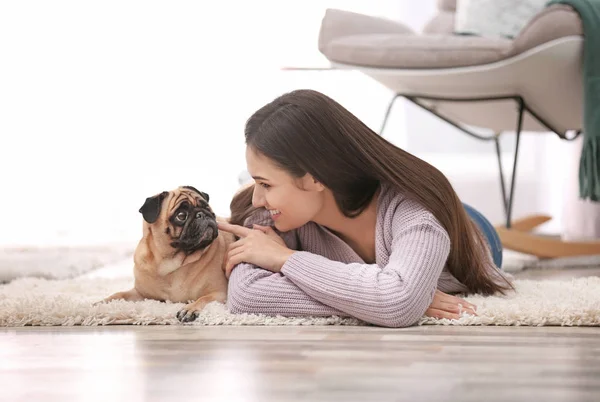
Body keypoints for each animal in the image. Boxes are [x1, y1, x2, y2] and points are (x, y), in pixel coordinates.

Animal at [99, 186, 233, 324]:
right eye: (181, 216)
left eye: (207, 207)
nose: (202, 214)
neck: (171, 262)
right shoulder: (140, 294)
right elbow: (118, 295)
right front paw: (101, 303)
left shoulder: (220, 293)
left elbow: (203, 299)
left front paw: (189, 309)